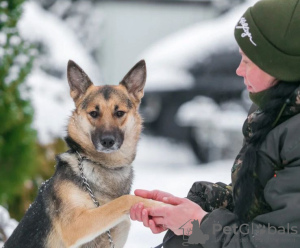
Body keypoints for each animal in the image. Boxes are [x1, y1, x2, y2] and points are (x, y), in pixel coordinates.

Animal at [3, 60, 162, 248]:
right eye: (94, 113)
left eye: (119, 113)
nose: (107, 141)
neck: (102, 165)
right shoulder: (75, 224)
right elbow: (124, 200)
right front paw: (158, 204)